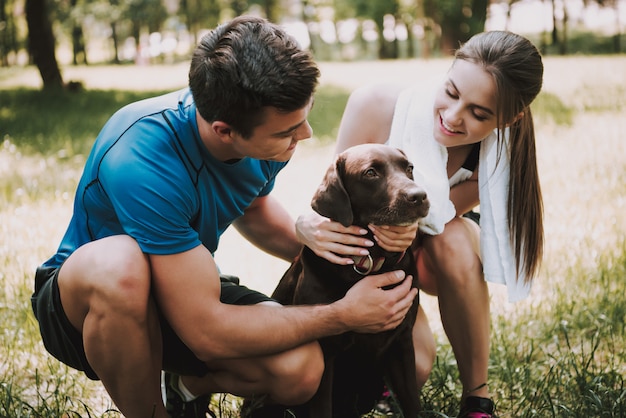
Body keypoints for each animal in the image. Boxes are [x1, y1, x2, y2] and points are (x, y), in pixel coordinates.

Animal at [270, 144, 426, 418]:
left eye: (409, 168)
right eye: (371, 173)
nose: (420, 196)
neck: (371, 261)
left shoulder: (402, 342)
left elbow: (412, 404)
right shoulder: (325, 351)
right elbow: (321, 409)